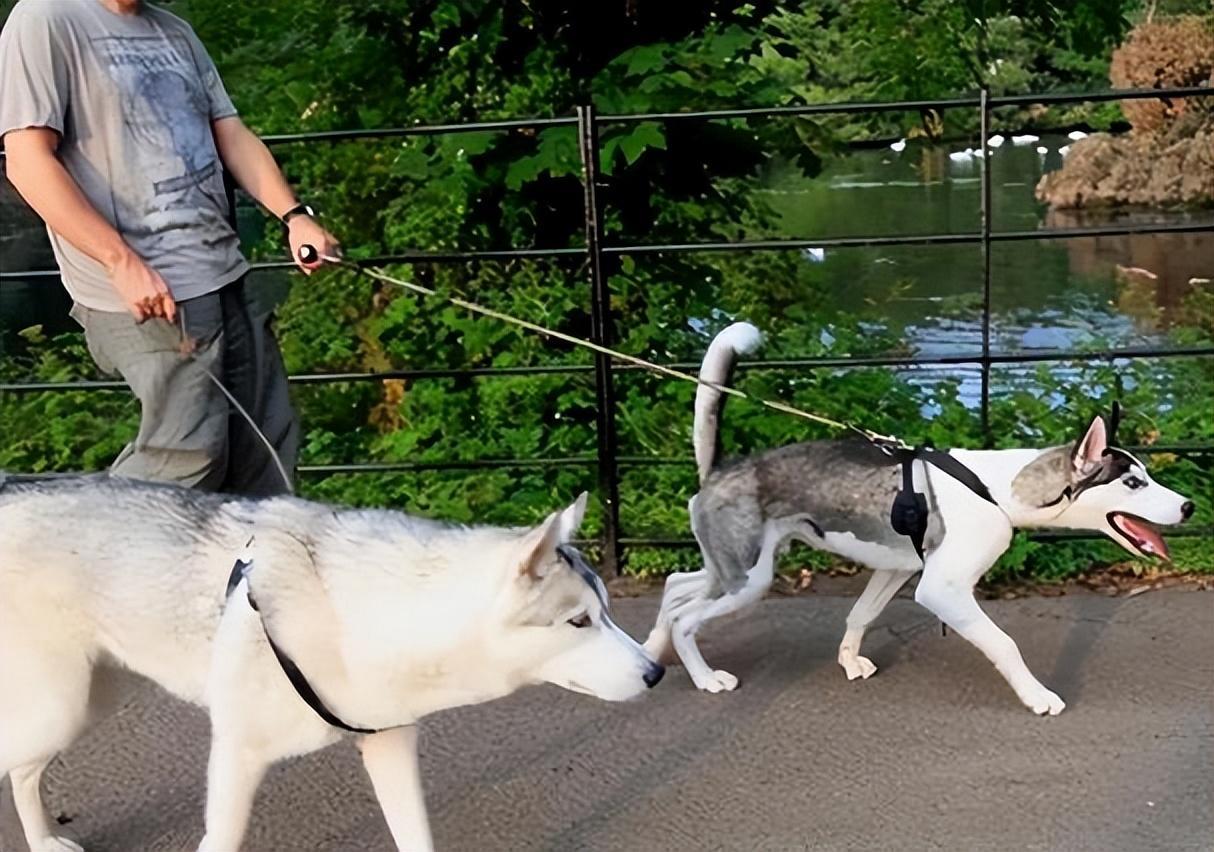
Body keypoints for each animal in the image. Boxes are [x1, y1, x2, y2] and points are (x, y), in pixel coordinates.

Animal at [0, 475, 663, 852]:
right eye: (578, 622)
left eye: (607, 613)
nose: (655, 674)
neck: (369, 613)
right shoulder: (236, 757)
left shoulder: (390, 747)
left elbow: (416, 838)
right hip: (59, 708)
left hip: (87, 701)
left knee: (25, 774)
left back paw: (43, 840)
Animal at [644, 322, 1195, 715]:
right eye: (1133, 483)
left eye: (1146, 475)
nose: (1189, 506)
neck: (996, 489)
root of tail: (721, 468)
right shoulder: (941, 590)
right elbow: (1004, 643)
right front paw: (1037, 696)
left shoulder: (895, 570)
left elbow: (860, 615)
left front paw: (849, 660)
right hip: (747, 579)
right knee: (688, 619)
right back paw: (704, 677)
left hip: (732, 568)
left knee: (675, 588)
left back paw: (654, 648)